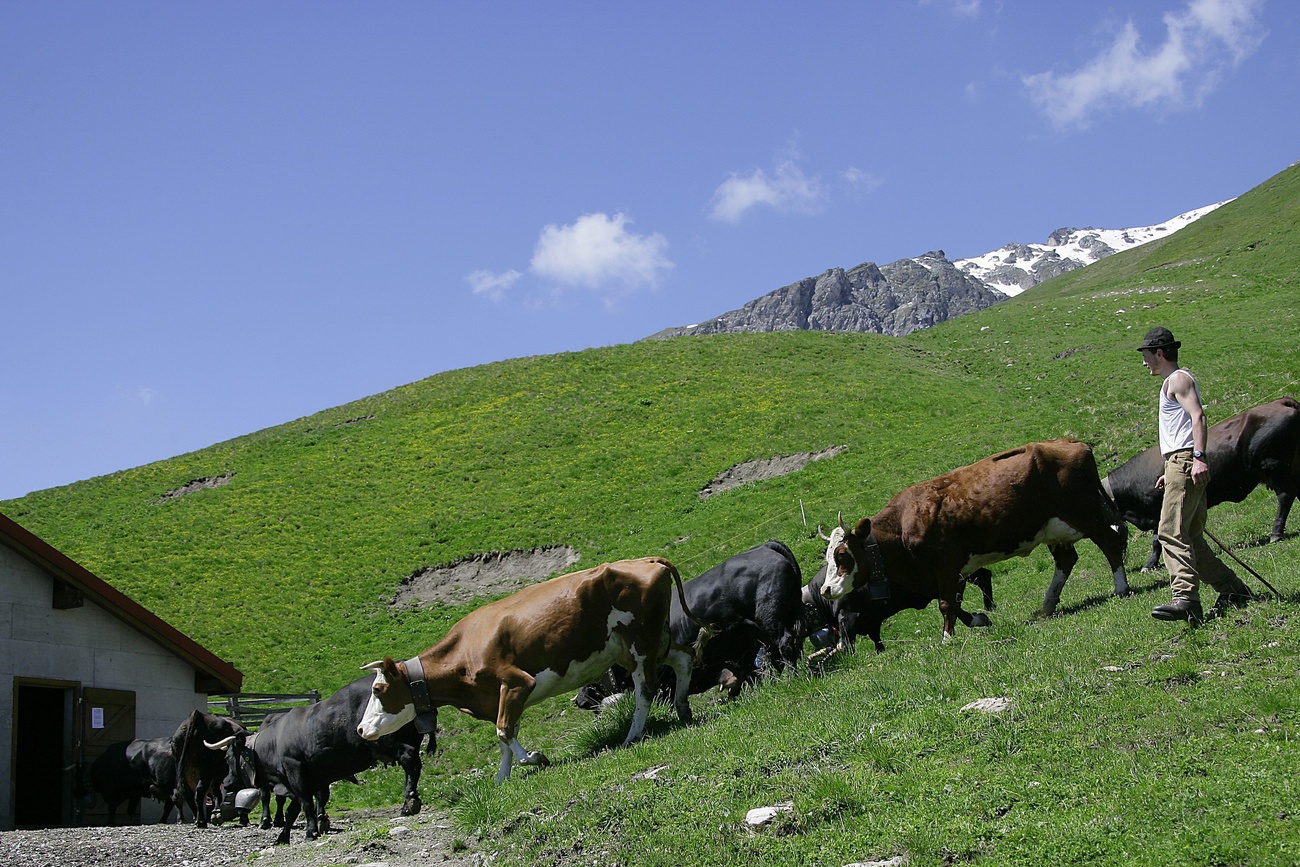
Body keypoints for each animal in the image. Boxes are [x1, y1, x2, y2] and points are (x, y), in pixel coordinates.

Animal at [205, 675, 427, 845]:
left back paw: (410, 800)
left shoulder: (295, 770)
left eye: (228, 757)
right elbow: (294, 810)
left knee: (409, 758)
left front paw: (311, 831)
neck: (275, 741)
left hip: (385, 740)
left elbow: (306, 804)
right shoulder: (304, 780)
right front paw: (283, 837)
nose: (225, 782)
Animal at [357, 557, 711, 782]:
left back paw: (632, 736)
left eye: (377, 689)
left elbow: (503, 730)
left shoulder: (516, 683)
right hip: (643, 643)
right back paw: (682, 709)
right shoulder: (497, 697)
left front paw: (534, 759)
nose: (360, 729)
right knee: (683, 659)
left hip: (641, 642)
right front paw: (502, 777)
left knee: (645, 688)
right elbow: (504, 736)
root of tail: (646, 560)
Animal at [820, 439, 1129, 640]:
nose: (825, 589)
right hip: (1053, 528)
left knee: (1110, 543)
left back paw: (1121, 588)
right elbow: (953, 603)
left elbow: (946, 604)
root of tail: (1073, 442)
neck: (903, 524)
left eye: (842, 555)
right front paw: (979, 619)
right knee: (1067, 559)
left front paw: (947, 638)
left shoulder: (946, 564)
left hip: (1083, 513)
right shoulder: (946, 572)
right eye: (828, 556)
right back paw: (1047, 606)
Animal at [1104, 397, 1300, 569]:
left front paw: (1150, 564)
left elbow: (1157, 540)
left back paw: (1276, 533)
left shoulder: (1160, 511)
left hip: (1275, 467)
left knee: (1285, 497)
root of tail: (1281, 401)